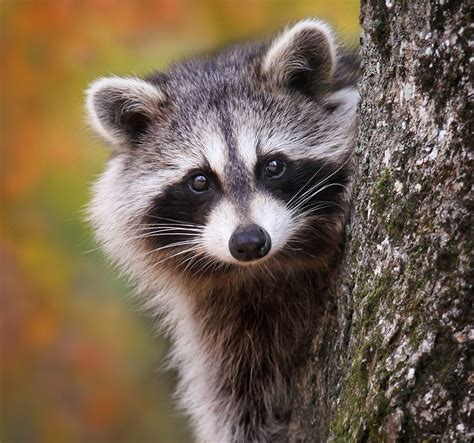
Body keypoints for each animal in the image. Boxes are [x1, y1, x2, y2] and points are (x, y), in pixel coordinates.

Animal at [86, 20, 360, 443]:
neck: (268, 269)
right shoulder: (220, 319)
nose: (248, 242)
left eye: (273, 166)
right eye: (200, 181)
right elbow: (235, 402)